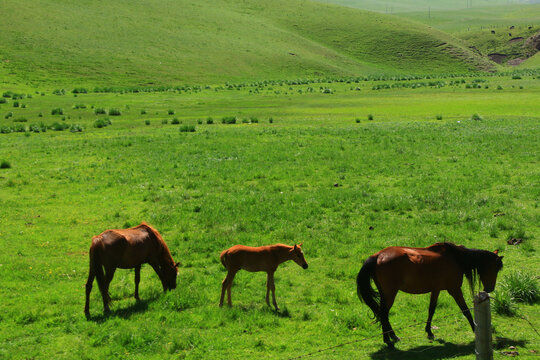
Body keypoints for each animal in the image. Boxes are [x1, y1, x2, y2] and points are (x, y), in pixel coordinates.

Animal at [356, 242, 504, 346]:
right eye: (495, 269)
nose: (490, 288)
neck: (455, 258)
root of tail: (378, 256)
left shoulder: (436, 289)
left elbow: (431, 310)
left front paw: (429, 331)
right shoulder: (454, 289)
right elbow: (465, 310)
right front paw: (475, 329)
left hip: (385, 294)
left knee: (383, 315)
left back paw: (392, 336)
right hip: (390, 294)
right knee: (384, 314)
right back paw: (388, 339)